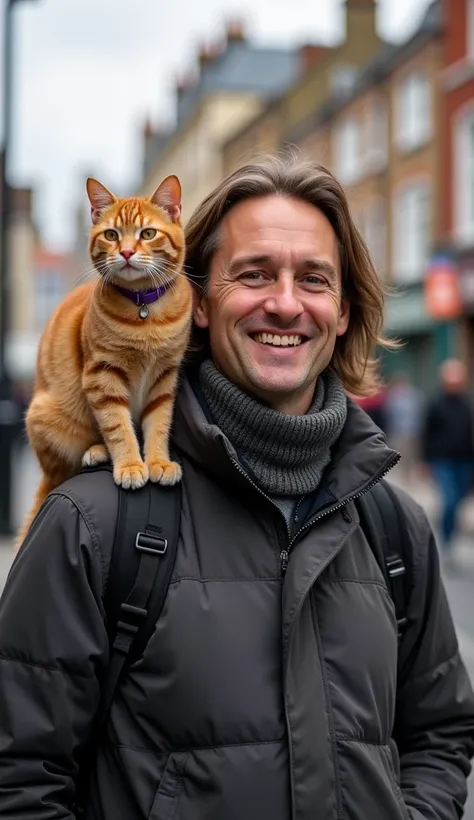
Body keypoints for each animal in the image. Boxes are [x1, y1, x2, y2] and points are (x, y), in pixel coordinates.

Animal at [17, 173, 191, 544]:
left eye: (147, 234)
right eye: (111, 235)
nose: (125, 252)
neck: (145, 312)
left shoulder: (164, 379)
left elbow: (159, 425)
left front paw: (157, 461)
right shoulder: (102, 376)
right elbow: (117, 426)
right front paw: (130, 465)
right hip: (45, 416)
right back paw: (96, 451)